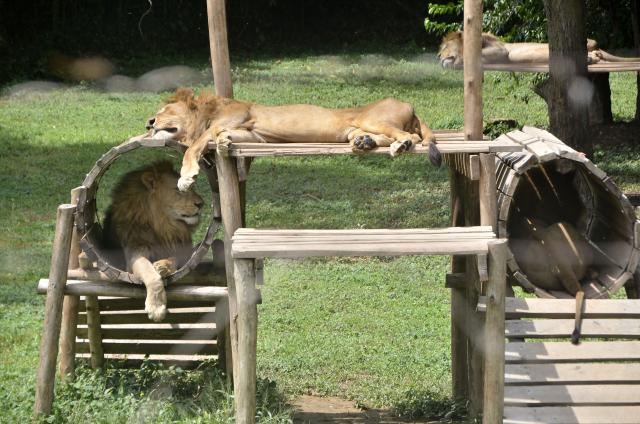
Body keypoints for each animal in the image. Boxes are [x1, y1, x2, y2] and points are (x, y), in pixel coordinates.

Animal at [102, 161, 204, 321]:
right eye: (178, 190)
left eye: (191, 188)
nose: (201, 204)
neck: (163, 225)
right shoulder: (135, 253)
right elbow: (150, 273)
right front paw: (156, 308)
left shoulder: (183, 251)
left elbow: (174, 259)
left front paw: (162, 266)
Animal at [144, 88, 440, 191]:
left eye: (164, 110)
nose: (149, 122)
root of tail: (410, 105)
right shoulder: (255, 135)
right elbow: (224, 136)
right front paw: (226, 142)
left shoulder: (235, 116)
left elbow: (195, 145)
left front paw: (186, 177)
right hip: (357, 128)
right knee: (378, 138)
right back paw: (364, 144)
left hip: (373, 119)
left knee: (411, 136)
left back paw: (400, 145)